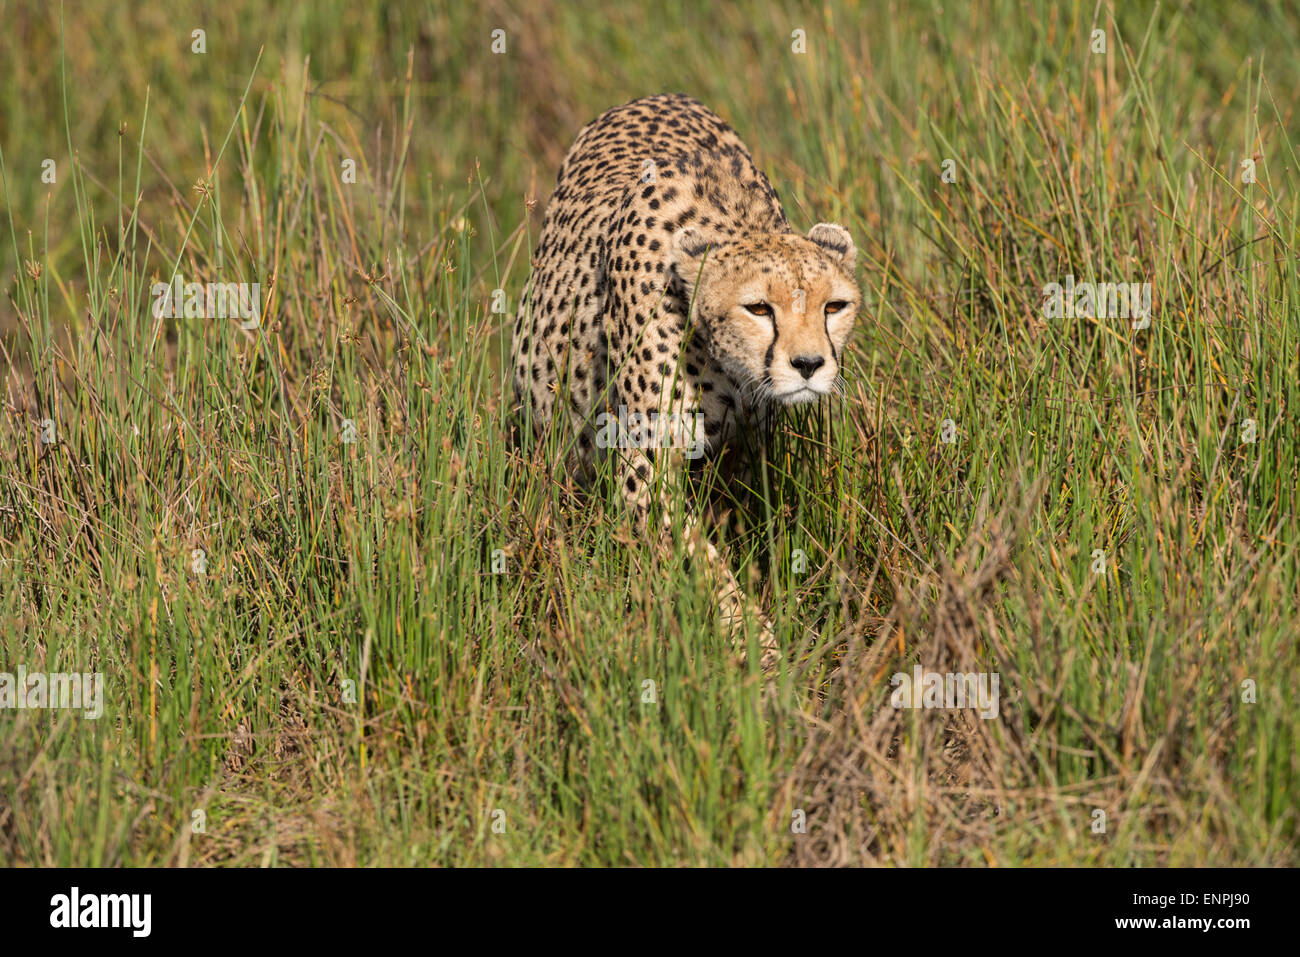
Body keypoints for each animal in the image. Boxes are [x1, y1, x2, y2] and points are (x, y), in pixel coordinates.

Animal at [511, 93, 861, 664]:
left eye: (834, 306)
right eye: (758, 308)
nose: (809, 365)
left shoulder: (749, 451)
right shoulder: (644, 465)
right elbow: (703, 563)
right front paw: (760, 654)